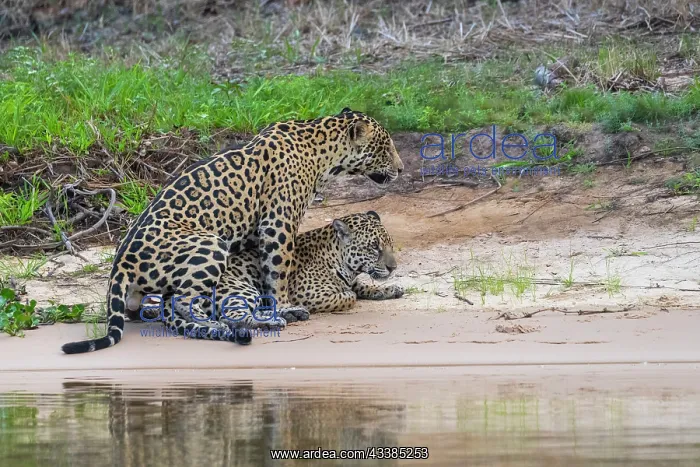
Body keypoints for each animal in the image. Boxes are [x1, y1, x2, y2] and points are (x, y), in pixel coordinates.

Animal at [61, 108, 403, 354]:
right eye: (386, 147)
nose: (401, 169)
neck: (321, 152)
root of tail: (119, 264)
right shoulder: (278, 223)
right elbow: (279, 269)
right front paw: (287, 303)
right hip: (211, 244)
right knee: (186, 302)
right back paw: (241, 323)